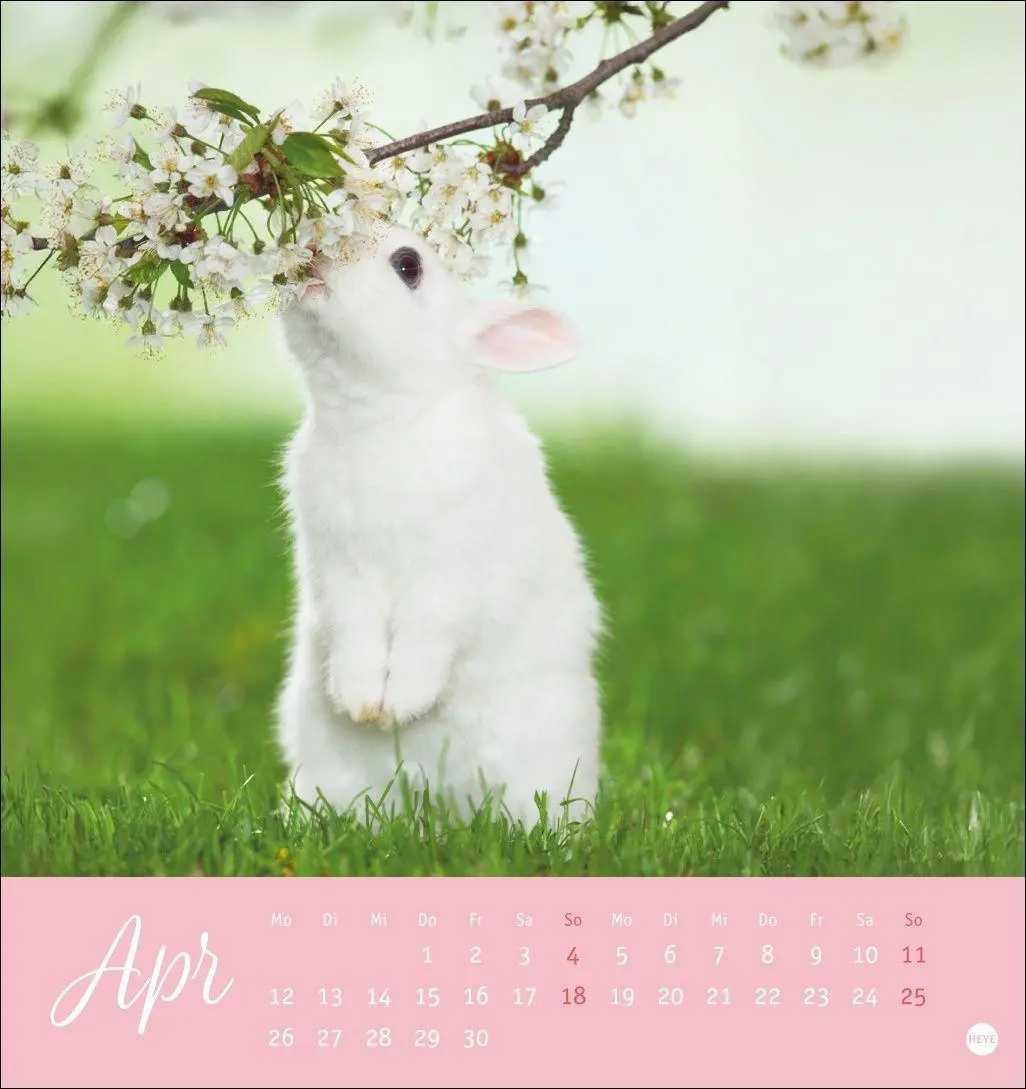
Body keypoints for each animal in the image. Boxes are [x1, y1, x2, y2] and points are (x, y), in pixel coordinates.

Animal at [274, 223, 602, 828]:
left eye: (408, 266)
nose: (313, 251)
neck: (382, 418)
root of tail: (442, 798)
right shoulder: (341, 571)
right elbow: (356, 634)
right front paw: (362, 705)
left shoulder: (448, 574)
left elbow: (427, 635)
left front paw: (398, 707)